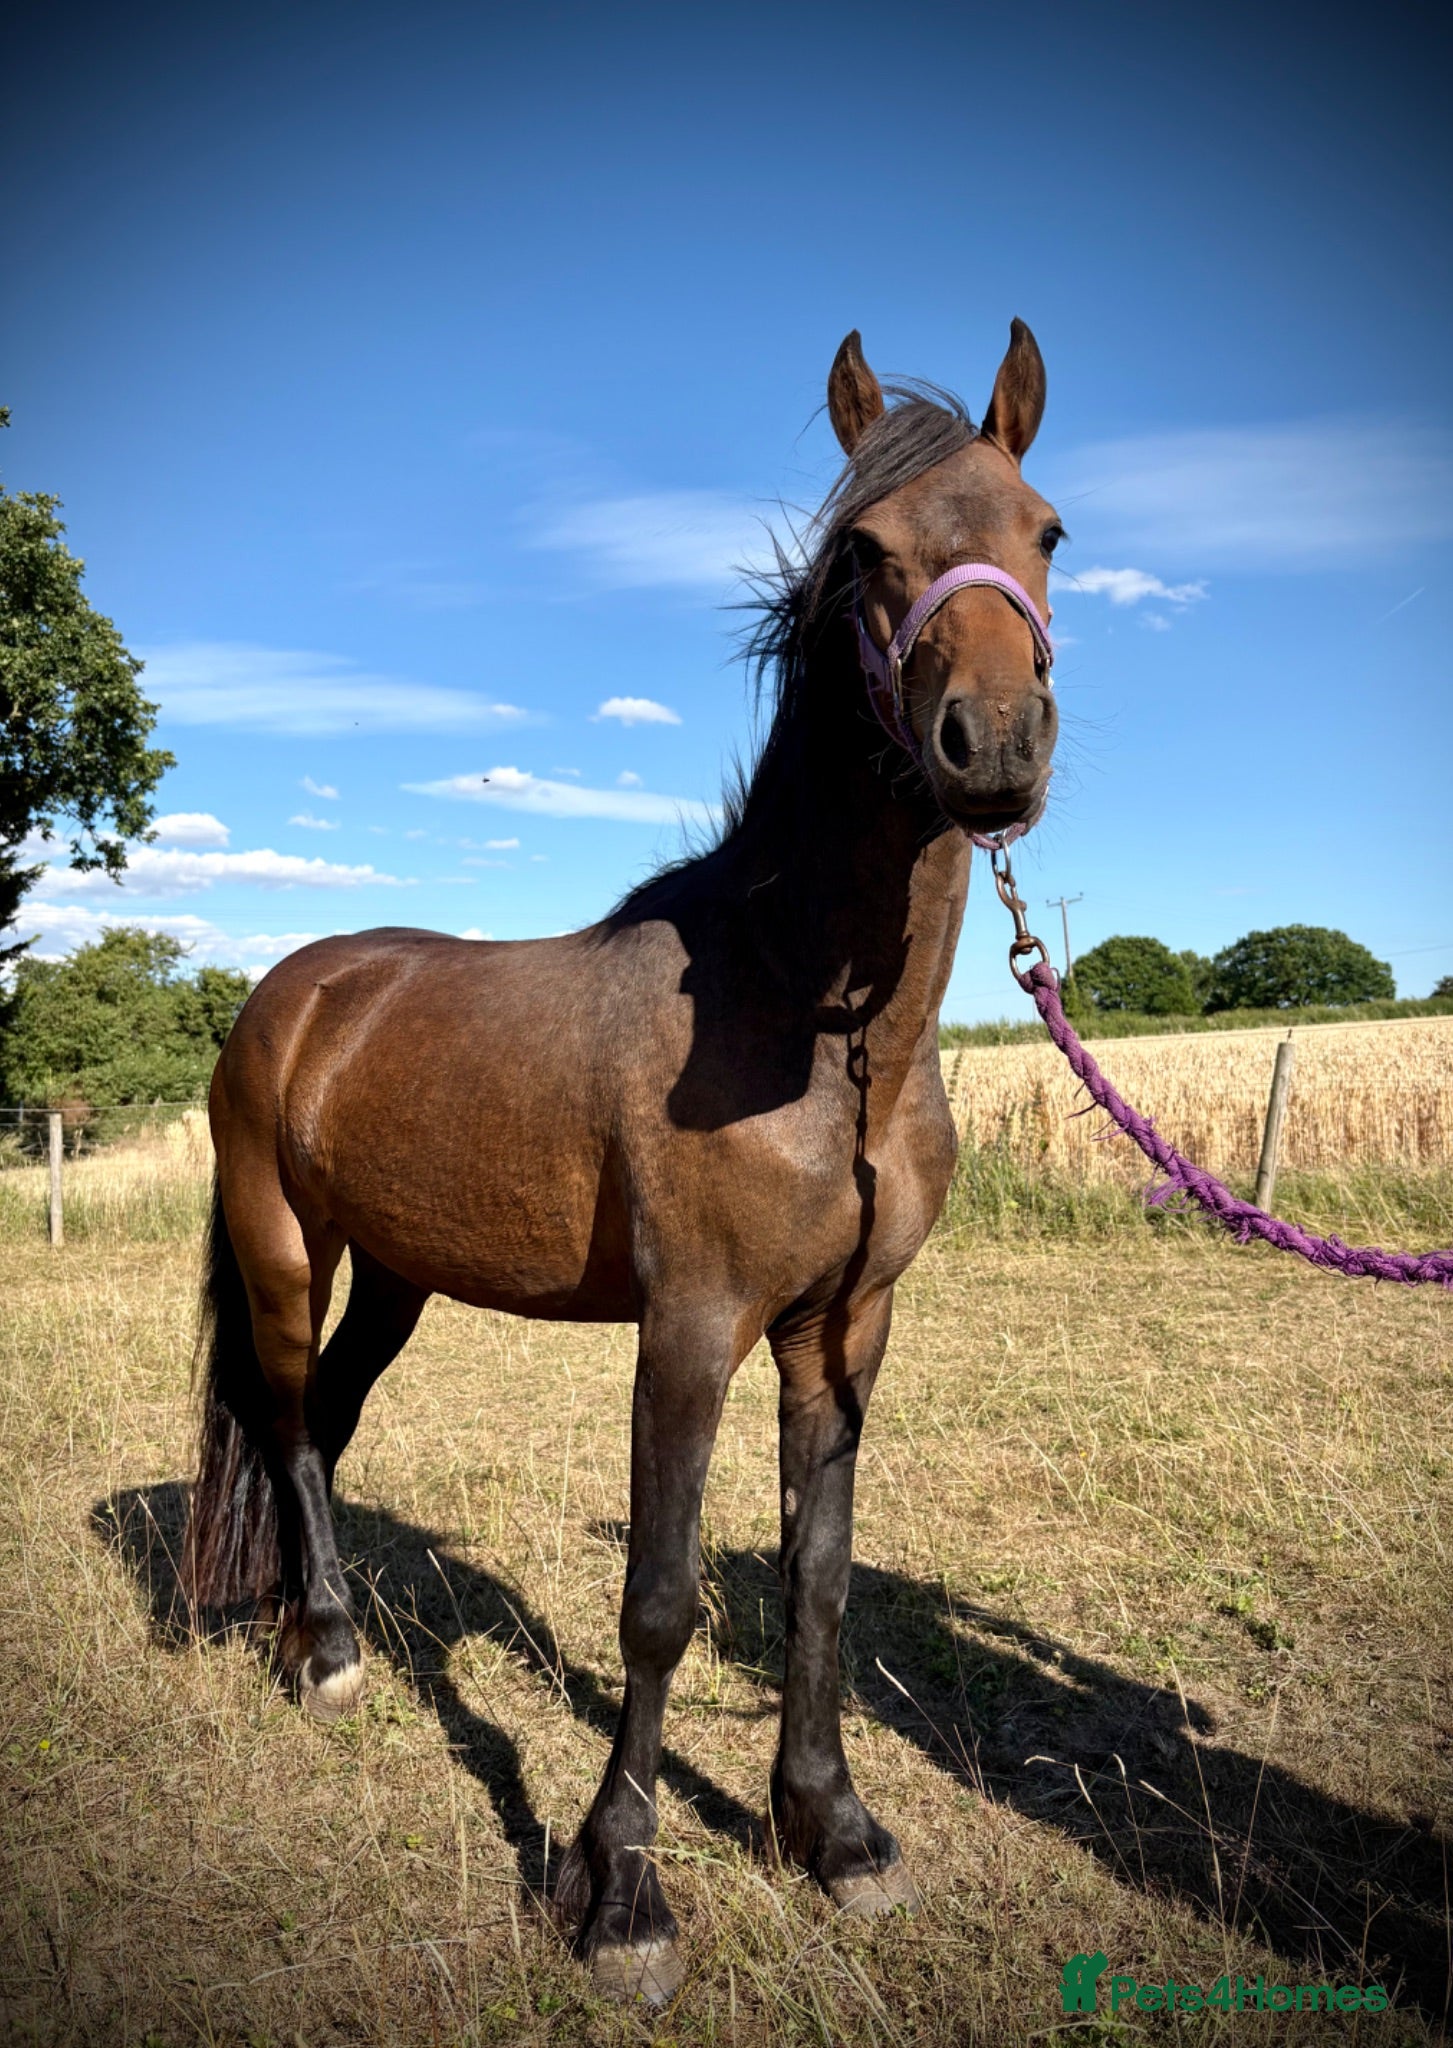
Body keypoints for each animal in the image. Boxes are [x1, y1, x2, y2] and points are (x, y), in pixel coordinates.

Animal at [185, 321, 1063, 2004]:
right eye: (866, 551)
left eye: (1048, 532)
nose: (991, 745)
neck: (814, 1022)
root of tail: (295, 988)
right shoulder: (692, 1327)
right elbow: (659, 1604)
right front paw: (623, 1892)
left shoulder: (841, 1333)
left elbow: (817, 1578)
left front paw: (833, 1833)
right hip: (281, 1249)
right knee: (284, 1418)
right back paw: (328, 1653)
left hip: (398, 1277)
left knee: (322, 1424)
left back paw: (301, 1629)